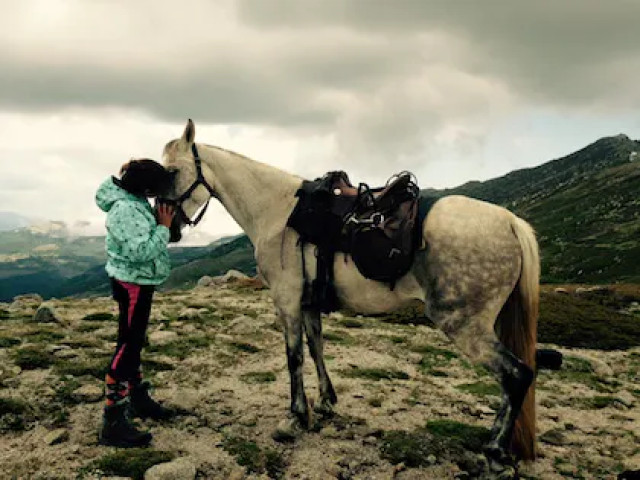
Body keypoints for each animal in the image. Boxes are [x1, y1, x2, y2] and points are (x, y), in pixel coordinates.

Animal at [161, 119, 539, 472]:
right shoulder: (308, 303)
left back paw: (494, 452)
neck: (276, 212)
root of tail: (510, 222)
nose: (169, 228)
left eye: (170, 172)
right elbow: (316, 348)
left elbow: (294, 357)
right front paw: (326, 402)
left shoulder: (287, 300)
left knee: (516, 376)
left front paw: (296, 416)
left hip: (463, 325)